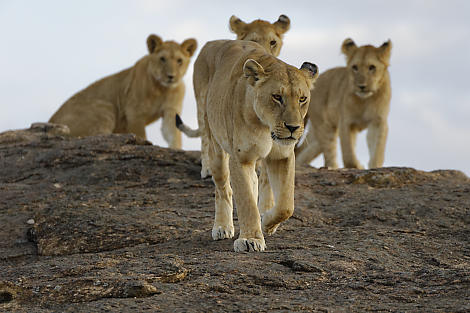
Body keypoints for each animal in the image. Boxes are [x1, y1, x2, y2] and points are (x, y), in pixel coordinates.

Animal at [47, 34, 195, 149]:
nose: (171, 76)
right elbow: (140, 135)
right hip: (106, 107)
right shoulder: (135, 113)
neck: (162, 89)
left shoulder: (171, 111)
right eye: (162, 59)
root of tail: (51, 120)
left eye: (179, 61)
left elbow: (173, 134)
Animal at [176, 14, 290, 177]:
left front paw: (258, 168)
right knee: (205, 136)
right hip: (203, 102)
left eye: (273, 42)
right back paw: (207, 168)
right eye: (254, 40)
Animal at [178, 39, 318, 251]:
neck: (266, 127)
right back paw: (222, 227)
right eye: (277, 97)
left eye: (302, 99)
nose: (293, 128)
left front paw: (267, 222)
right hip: (214, 142)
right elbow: (246, 201)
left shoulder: (282, 155)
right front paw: (250, 239)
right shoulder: (240, 157)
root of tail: (211, 42)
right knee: (223, 189)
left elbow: (286, 205)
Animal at [296, 38, 392, 169]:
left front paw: (374, 166)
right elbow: (348, 153)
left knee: (304, 151)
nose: (361, 86)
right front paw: (357, 166)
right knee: (328, 151)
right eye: (355, 67)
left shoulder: (378, 121)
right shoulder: (346, 122)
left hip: (317, 135)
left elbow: (378, 150)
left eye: (372, 67)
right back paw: (331, 167)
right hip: (325, 126)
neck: (365, 100)